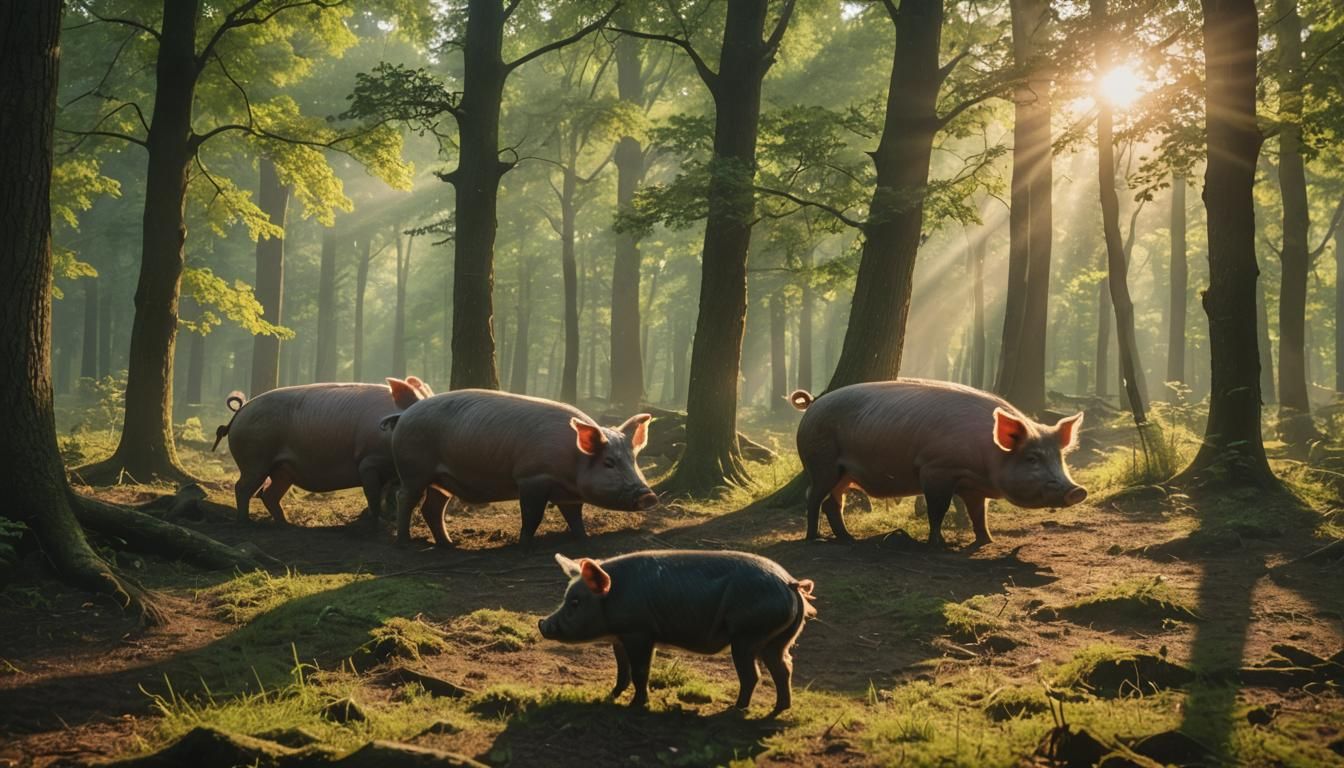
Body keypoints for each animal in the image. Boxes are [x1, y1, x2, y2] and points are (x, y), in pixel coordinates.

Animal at [214, 377, 433, 524]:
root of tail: (240, 412)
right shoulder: (367, 462)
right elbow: (373, 494)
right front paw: (376, 521)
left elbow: (389, 494)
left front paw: (390, 519)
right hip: (255, 459)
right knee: (242, 488)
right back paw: (245, 522)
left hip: (283, 470)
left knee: (269, 494)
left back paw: (286, 524)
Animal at [384, 389, 658, 548]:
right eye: (609, 462)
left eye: (633, 459)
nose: (649, 495)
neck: (572, 461)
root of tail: (403, 415)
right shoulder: (531, 478)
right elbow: (531, 514)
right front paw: (524, 544)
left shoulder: (568, 495)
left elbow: (574, 517)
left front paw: (584, 538)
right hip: (413, 471)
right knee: (404, 497)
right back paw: (404, 542)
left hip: (442, 481)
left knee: (432, 508)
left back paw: (448, 544)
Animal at [538, 550, 816, 715]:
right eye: (567, 597)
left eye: (575, 602)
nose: (542, 623)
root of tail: (790, 583)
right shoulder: (620, 637)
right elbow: (622, 671)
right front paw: (609, 696)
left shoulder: (640, 632)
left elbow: (640, 671)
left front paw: (636, 705)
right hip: (777, 640)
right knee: (784, 668)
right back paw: (779, 709)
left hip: (747, 636)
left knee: (753, 675)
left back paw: (734, 710)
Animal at [790, 379, 1086, 547]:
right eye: (1032, 458)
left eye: (1059, 457)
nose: (1077, 490)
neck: (985, 460)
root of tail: (812, 405)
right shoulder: (935, 470)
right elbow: (938, 509)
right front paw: (938, 544)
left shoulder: (973, 486)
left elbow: (979, 513)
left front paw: (986, 541)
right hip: (821, 462)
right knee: (812, 497)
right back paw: (815, 538)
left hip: (844, 473)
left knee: (833, 503)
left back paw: (847, 538)